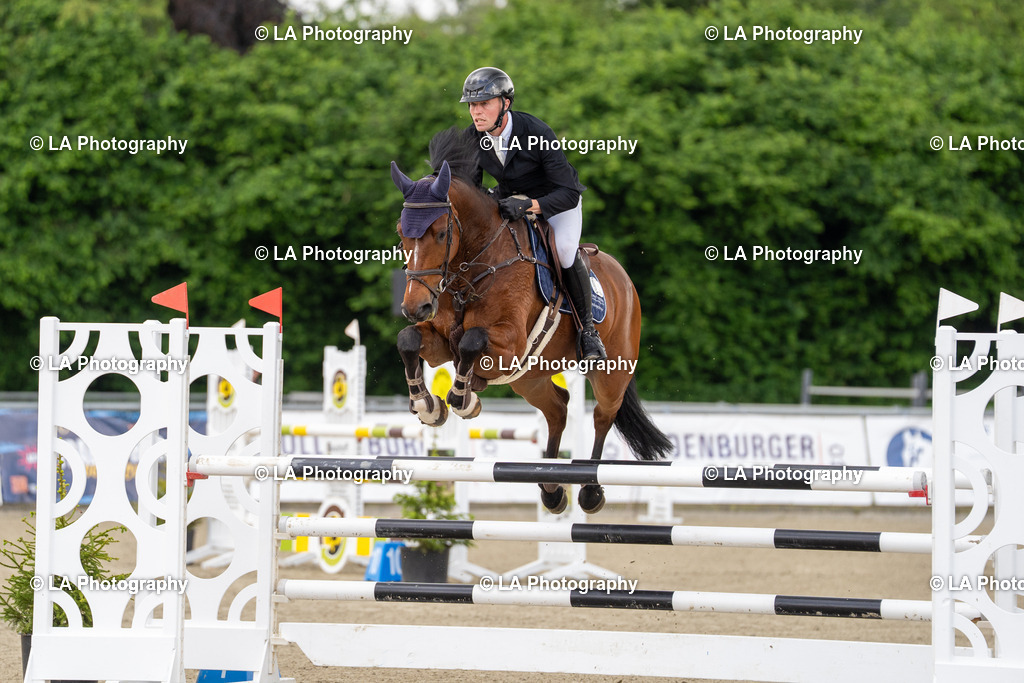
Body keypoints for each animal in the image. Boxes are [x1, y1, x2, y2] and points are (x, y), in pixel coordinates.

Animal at [391, 126, 672, 514]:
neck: (475, 268)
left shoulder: (509, 344)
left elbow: (471, 341)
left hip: (611, 370)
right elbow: (410, 340)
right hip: (531, 379)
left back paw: (589, 491)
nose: (414, 307)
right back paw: (551, 488)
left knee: (603, 415)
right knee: (558, 409)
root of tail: (624, 280)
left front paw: (464, 397)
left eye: (442, 233)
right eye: (401, 233)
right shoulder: (439, 341)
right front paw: (427, 404)